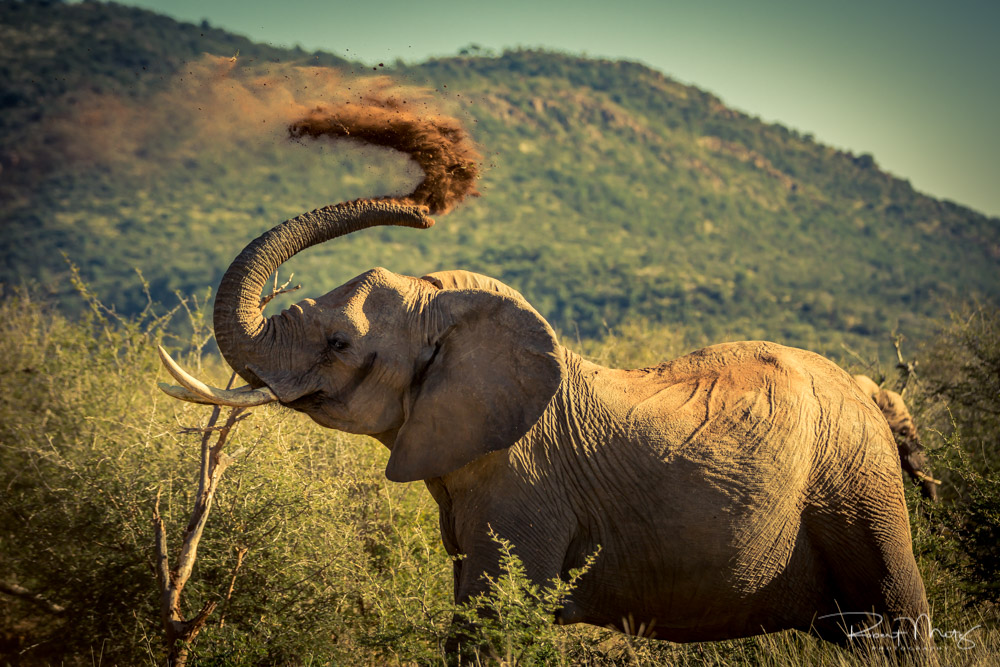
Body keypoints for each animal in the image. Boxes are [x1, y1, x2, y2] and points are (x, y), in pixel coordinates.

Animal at [158, 199, 932, 651]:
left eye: (340, 344)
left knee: (898, 617)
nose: (423, 209)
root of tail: (869, 391)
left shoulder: (524, 484)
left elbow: (491, 622)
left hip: (857, 484)